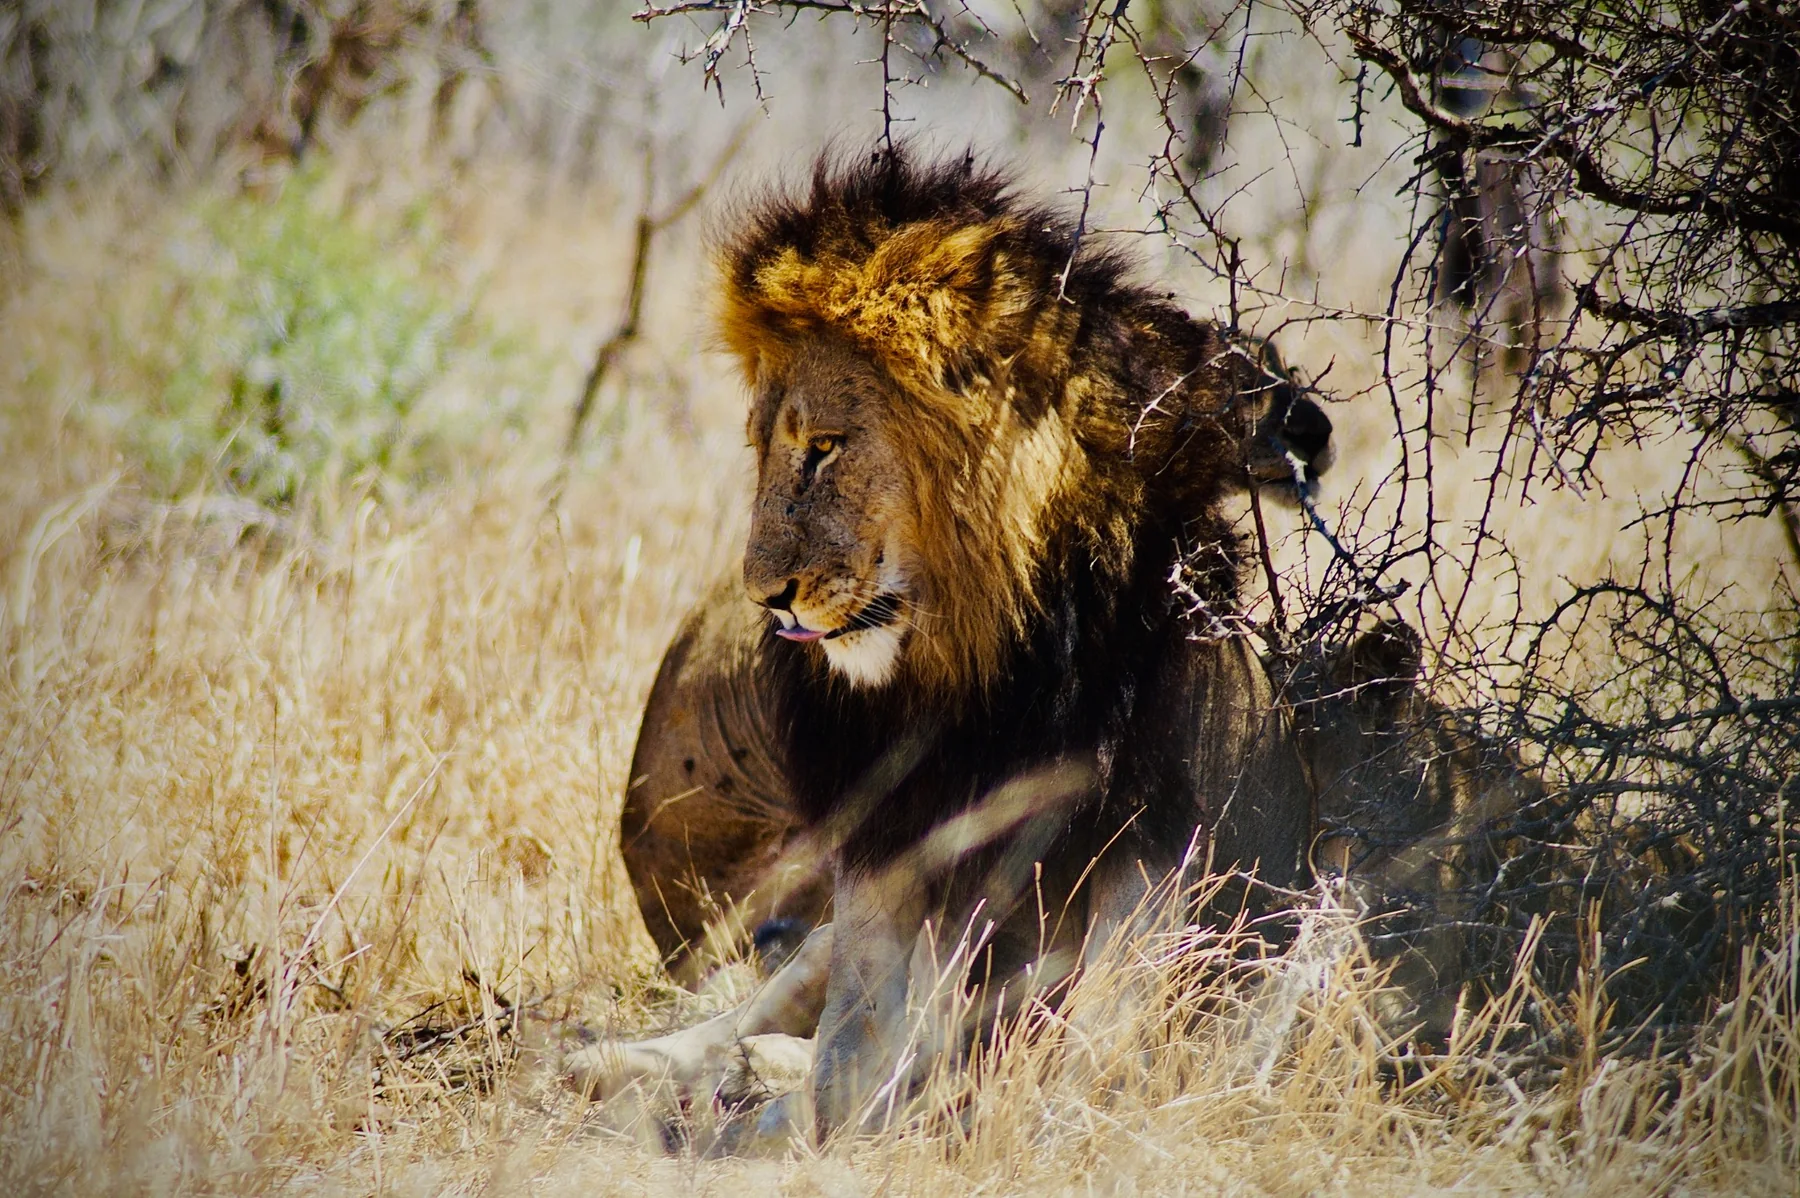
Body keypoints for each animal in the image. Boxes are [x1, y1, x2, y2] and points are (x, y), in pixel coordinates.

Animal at [586, 146, 1333, 1139]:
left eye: (825, 447)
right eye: (769, 449)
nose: (764, 597)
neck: (991, 660)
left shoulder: (1156, 853)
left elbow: (1090, 1043)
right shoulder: (890, 853)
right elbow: (853, 1057)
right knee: (742, 1015)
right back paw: (616, 1065)